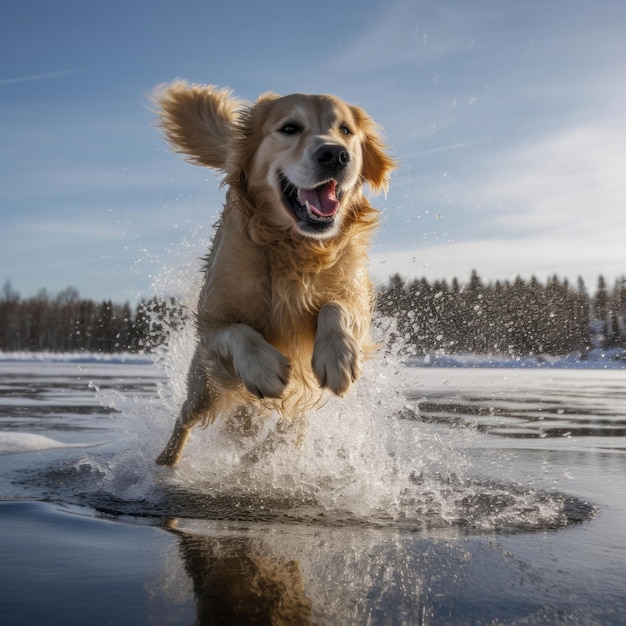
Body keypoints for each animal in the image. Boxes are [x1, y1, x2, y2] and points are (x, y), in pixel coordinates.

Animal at [153, 81, 392, 464]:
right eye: (290, 128)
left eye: (345, 130)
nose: (335, 155)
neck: (294, 247)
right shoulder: (211, 321)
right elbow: (239, 332)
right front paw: (264, 367)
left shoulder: (354, 296)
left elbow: (335, 307)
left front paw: (339, 357)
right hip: (205, 385)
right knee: (186, 418)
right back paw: (166, 461)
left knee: (291, 425)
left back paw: (262, 453)